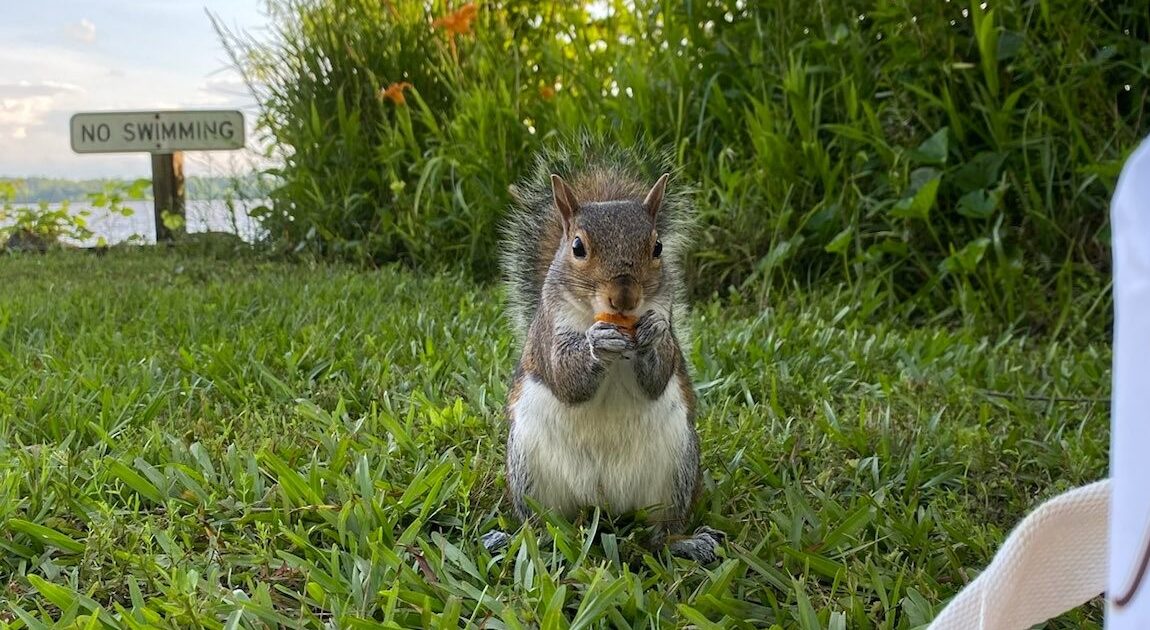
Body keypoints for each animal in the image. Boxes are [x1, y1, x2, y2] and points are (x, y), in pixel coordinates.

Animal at [483, 140, 717, 563]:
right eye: (577, 247)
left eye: (657, 247)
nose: (624, 298)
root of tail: (603, 502)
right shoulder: (548, 335)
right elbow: (565, 378)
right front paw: (596, 343)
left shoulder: (667, 324)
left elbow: (659, 375)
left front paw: (650, 335)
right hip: (530, 473)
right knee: (542, 526)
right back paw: (516, 540)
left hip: (676, 471)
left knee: (660, 532)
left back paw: (685, 542)